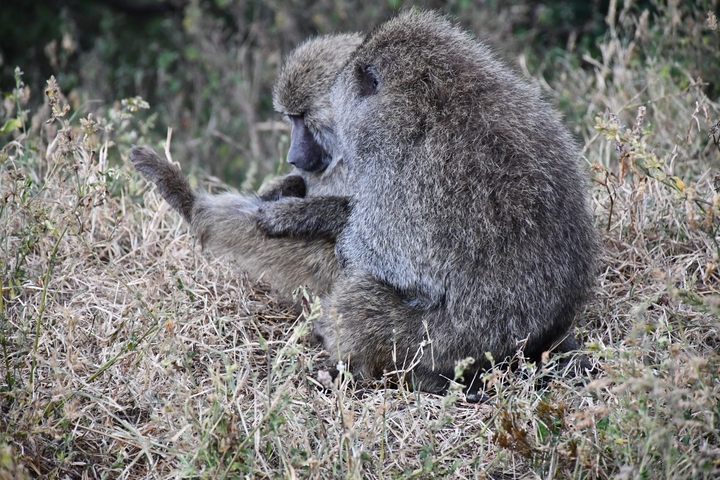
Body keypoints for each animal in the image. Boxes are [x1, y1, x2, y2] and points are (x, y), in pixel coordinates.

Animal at [130, 32, 363, 299]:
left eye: (303, 117)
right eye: (292, 118)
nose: (292, 157)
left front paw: (288, 214)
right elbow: (295, 182)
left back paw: (187, 201)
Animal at [256, 10, 599, 395]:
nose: (292, 158)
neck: (438, 99)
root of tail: (536, 343)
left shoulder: (401, 171)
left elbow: (387, 261)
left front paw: (297, 214)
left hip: (441, 347)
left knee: (358, 302)